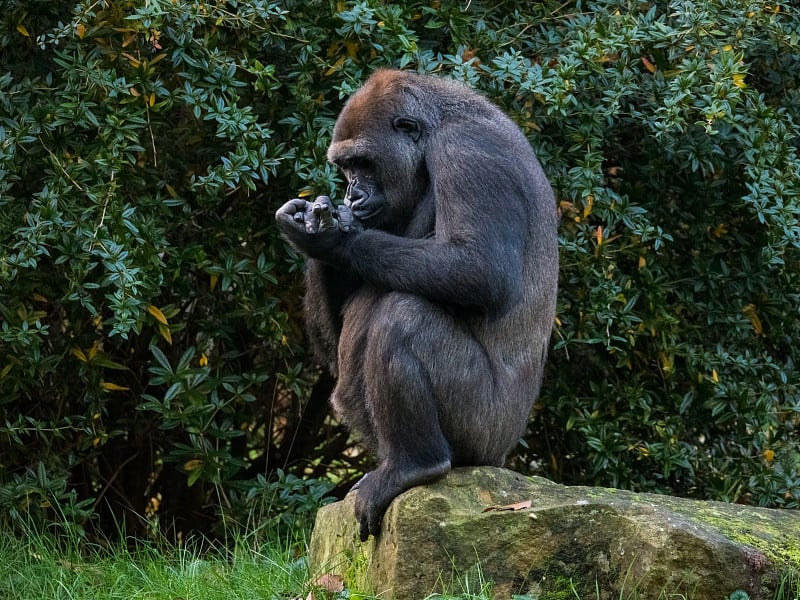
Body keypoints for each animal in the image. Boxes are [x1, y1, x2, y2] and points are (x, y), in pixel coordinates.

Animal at [276, 68, 556, 540]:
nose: (351, 195)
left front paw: (333, 241)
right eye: (345, 168)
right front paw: (315, 226)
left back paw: (415, 464)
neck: (437, 127)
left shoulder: (467, 150)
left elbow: (480, 268)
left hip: (486, 433)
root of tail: (500, 459)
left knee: (403, 316)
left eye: (364, 163)